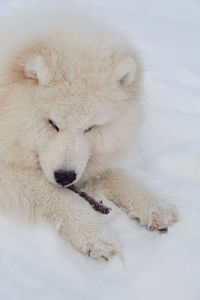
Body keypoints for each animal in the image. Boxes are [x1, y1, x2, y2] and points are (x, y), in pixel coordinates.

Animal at [0, 1, 177, 260]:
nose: (65, 176)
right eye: (52, 123)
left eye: (90, 128)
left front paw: (154, 207)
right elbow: (55, 194)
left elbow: (117, 175)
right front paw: (94, 234)